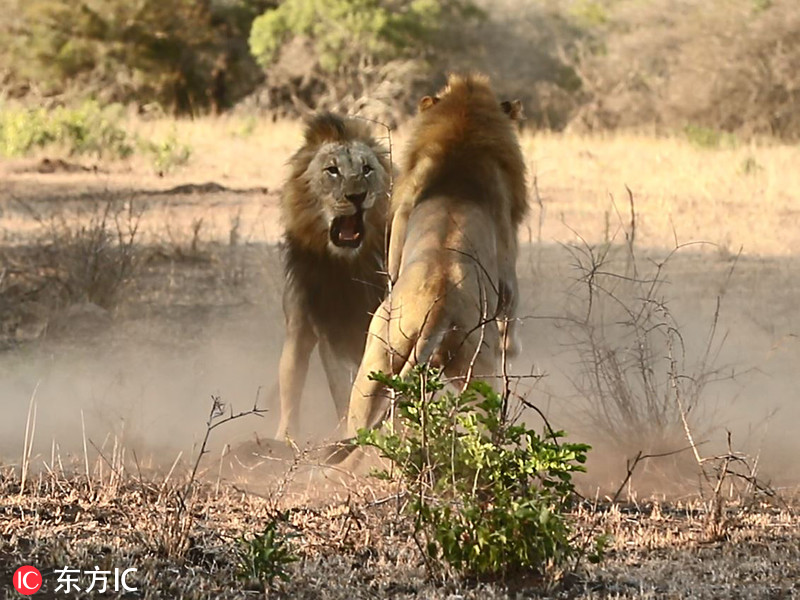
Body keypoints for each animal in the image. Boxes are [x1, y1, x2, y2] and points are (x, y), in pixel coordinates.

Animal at [276, 113, 394, 440]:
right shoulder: (324, 327)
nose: (357, 196)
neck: (347, 269)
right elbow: (340, 387)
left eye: (366, 169)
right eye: (332, 170)